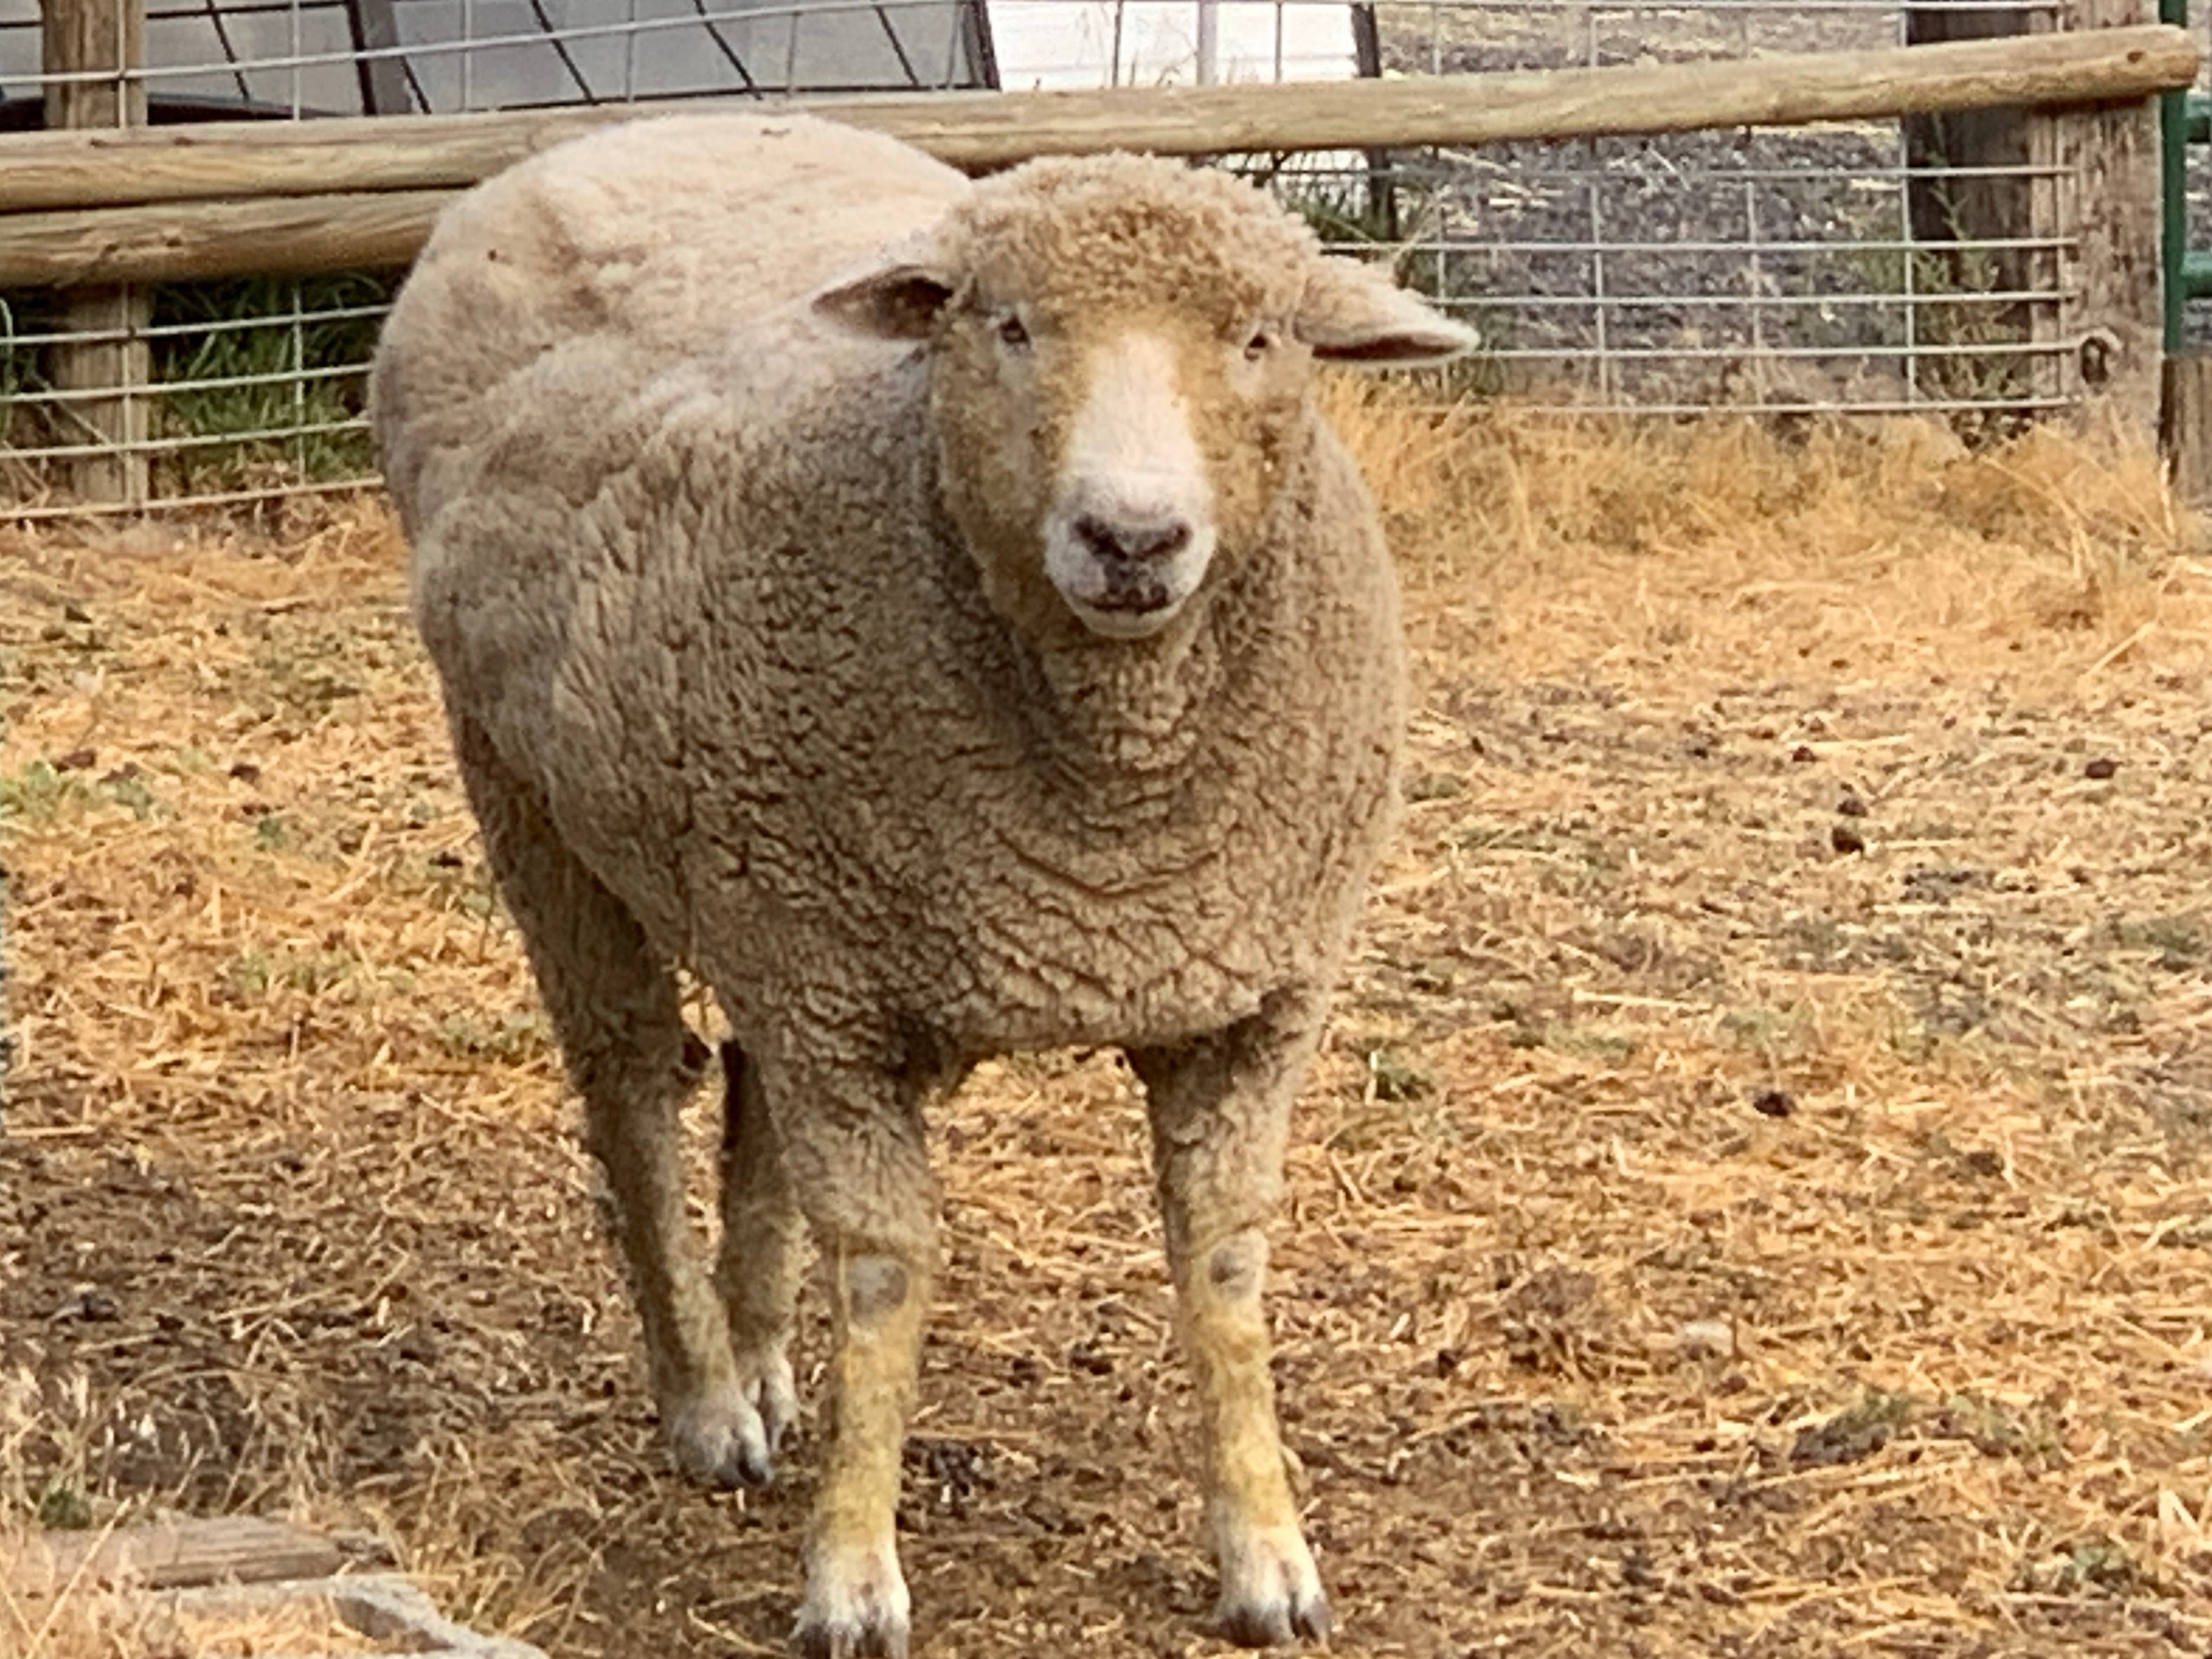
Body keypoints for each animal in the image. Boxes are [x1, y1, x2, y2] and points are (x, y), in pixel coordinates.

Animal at [371, 111, 1473, 1658]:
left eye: (1261, 337)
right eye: (1005, 325)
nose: (1132, 539)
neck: (1113, 800)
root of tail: (619, 134)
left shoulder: (1247, 1003)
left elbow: (1223, 1265)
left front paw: (1267, 1550)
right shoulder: (838, 992)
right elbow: (887, 1272)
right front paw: (852, 1569)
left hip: (770, 885)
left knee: (750, 1099)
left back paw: (765, 1365)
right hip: (542, 805)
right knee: (635, 1090)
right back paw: (706, 1396)